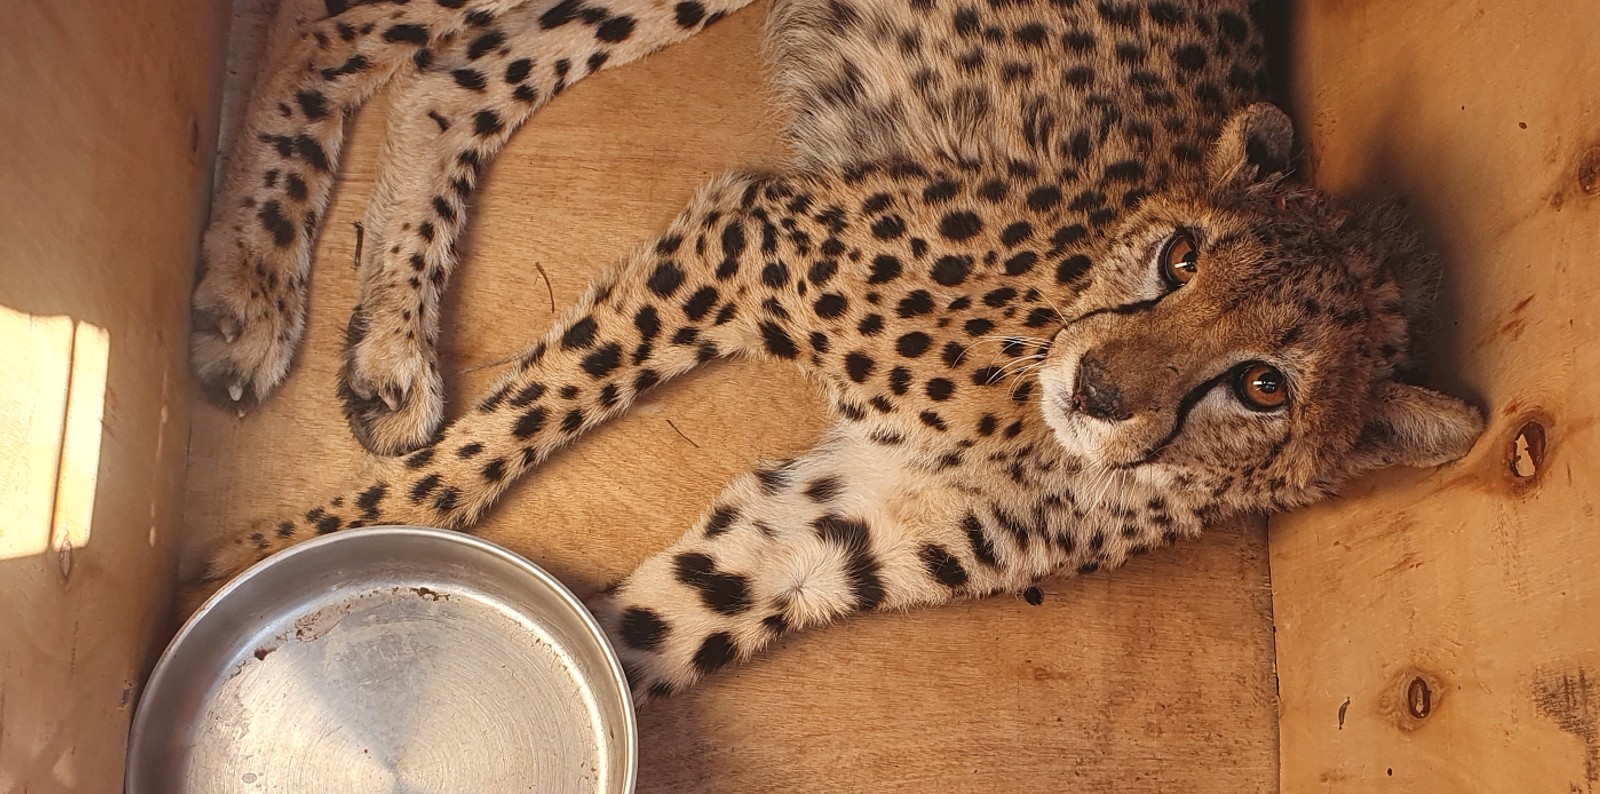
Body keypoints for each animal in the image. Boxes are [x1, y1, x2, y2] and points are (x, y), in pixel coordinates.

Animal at [193, 0, 1478, 701]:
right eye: (1179, 257)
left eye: (1263, 384)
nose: (1099, 385)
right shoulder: (760, 237)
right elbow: (488, 447)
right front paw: (249, 564)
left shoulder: (810, 535)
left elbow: (643, 629)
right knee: (346, 31)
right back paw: (249, 284)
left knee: (446, 78)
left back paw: (389, 347)